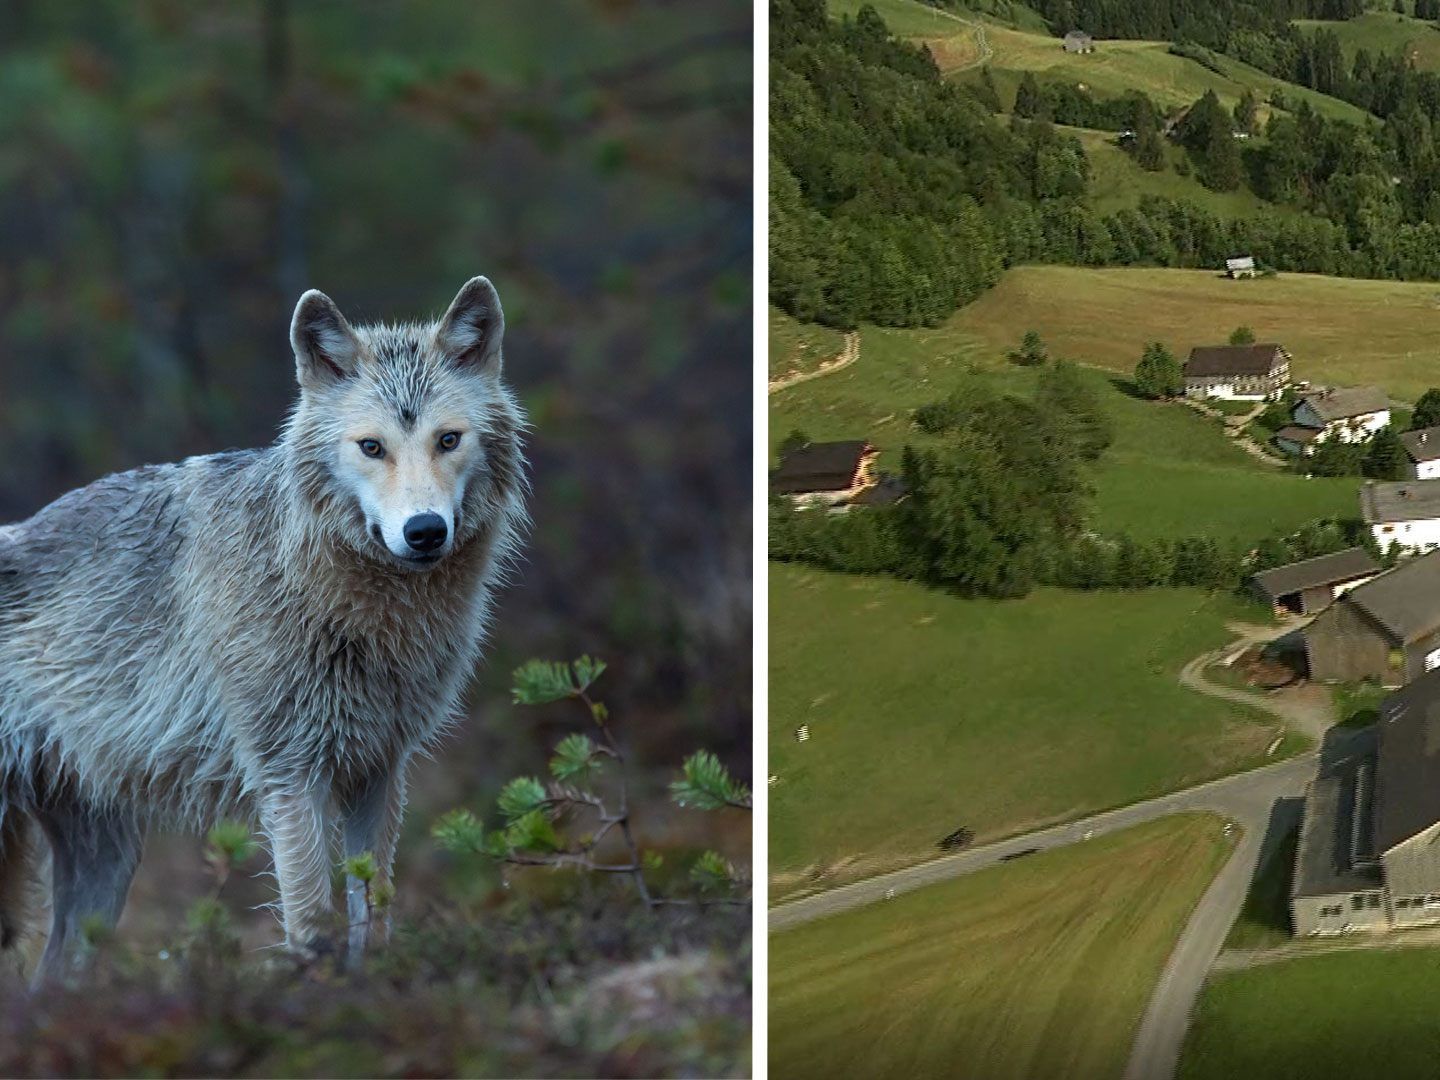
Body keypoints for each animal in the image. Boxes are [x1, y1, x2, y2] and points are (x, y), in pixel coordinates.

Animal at [0, 276, 529, 979]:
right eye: (372, 447)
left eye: (448, 440)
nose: (424, 531)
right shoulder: (290, 776)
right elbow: (311, 921)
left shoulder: (379, 771)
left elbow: (374, 914)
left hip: (108, 866)